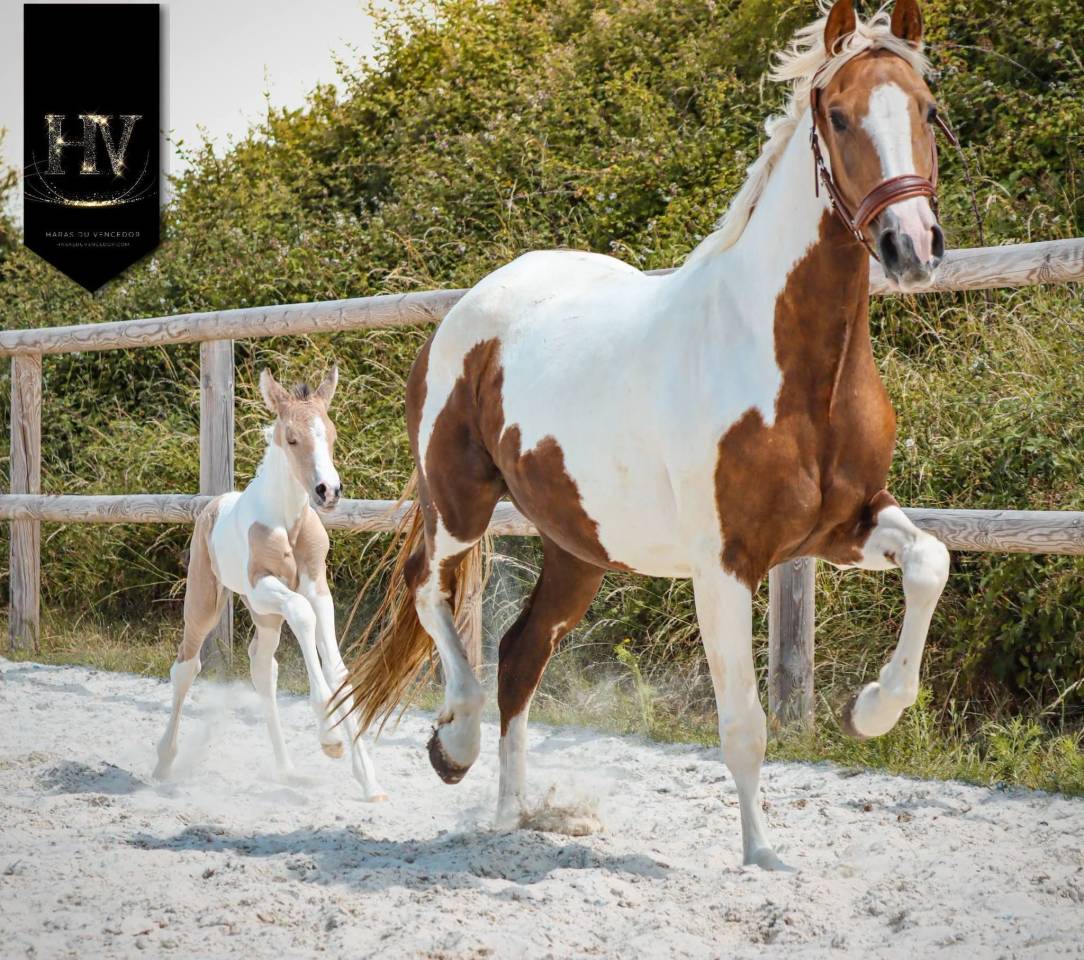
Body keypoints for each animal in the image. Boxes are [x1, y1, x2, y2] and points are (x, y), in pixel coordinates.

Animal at [155, 367, 386, 802]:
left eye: (331, 434)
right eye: (292, 438)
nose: (329, 491)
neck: (286, 521)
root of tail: (211, 505)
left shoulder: (316, 585)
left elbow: (336, 665)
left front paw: (369, 779)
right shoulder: (264, 587)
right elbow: (303, 614)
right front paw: (330, 737)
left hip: (264, 617)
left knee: (263, 668)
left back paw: (287, 769)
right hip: (208, 604)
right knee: (186, 666)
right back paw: (163, 762)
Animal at [346, 0, 951, 868]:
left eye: (927, 110)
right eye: (837, 116)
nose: (912, 247)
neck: (793, 367)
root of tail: (470, 309)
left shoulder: (845, 525)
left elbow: (931, 562)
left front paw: (871, 709)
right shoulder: (725, 563)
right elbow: (743, 724)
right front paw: (761, 855)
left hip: (578, 546)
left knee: (519, 654)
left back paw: (513, 816)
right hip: (459, 502)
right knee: (427, 582)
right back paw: (454, 745)